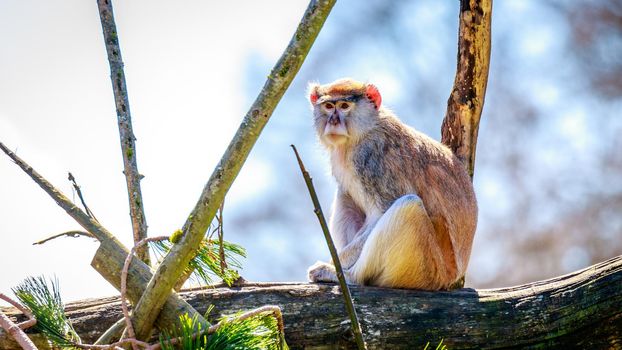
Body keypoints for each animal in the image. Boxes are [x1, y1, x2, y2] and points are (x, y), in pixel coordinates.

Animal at [310, 78, 480, 290]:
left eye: (344, 106)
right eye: (328, 106)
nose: (333, 122)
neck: (366, 129)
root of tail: (451, 277)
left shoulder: (372, 159)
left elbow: (381, 213)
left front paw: (336, 264)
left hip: (425, 267)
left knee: (409, 206)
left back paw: (349, 276)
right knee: (345, 194)